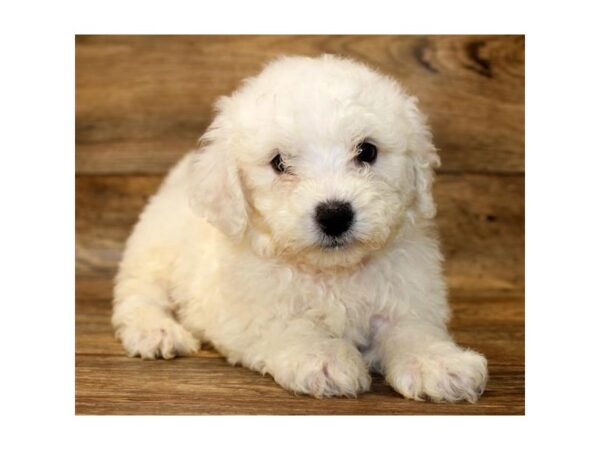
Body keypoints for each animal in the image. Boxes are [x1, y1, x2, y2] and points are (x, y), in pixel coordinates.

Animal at [111, 54, 488, 402]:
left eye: (367, 151)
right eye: (279, 162)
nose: (334, 215)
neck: (333, 273)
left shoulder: (407, 294)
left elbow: (413, 329)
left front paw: (438, 363)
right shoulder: (249, 312)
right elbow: (292, 327)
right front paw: (324, 358)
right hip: (153, 250)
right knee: (139, 294)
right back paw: (156, 331)